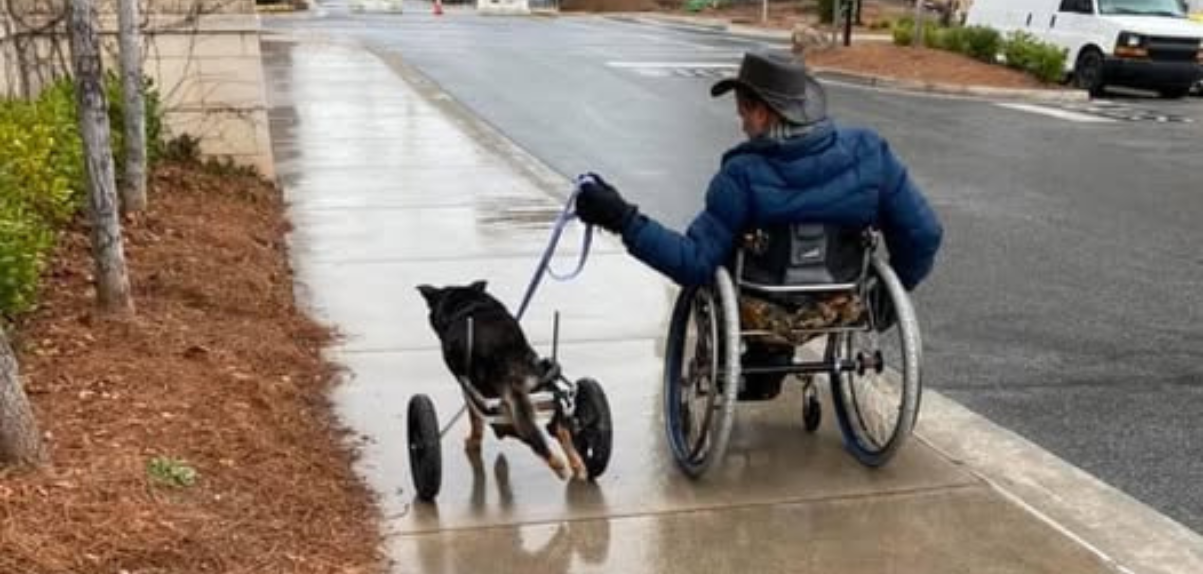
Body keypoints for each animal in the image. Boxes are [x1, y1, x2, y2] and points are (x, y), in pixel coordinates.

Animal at [418, 280, 587, 481]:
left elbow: (475, 421)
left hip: (491, 397)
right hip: (542, 382)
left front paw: (474, 442)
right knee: (559, 427)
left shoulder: (467, 387)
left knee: (509, 431)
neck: (466, 303)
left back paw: (556, 464)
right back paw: (577, 464)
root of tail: (506, 352)